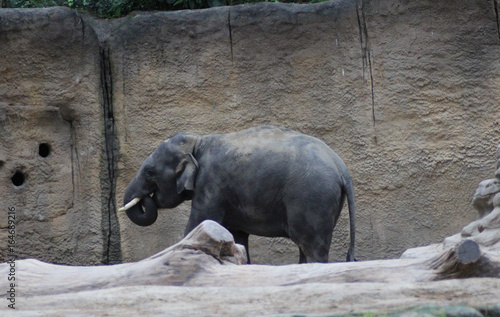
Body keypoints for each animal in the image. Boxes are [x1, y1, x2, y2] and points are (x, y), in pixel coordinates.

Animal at [120, 124, 356, 262]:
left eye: (150, 173)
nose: (145, 198)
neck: (199, 141)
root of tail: (342, 167)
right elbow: (236, 235)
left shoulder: (211, 183)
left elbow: (200, 222)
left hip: (313, 198)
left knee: (311, 246)